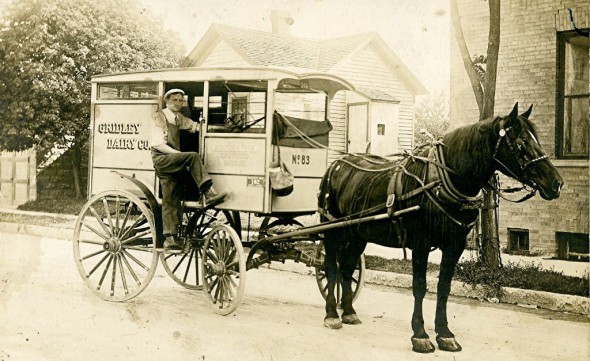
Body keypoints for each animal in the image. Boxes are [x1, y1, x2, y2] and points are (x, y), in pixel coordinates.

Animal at [320, 102, 564, 352]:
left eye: (536, 140)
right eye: (521, 143)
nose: (556, 183)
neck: (442, 180)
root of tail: (336, 164)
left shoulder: (454, 246)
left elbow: (444, 287)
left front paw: (445, 333)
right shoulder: (420, 244)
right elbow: (420, 286)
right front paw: (420, 334)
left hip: (358, 234)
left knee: (347, 268)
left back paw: (348, 312)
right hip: (332, 231)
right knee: (330, 267)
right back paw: (332, 314)